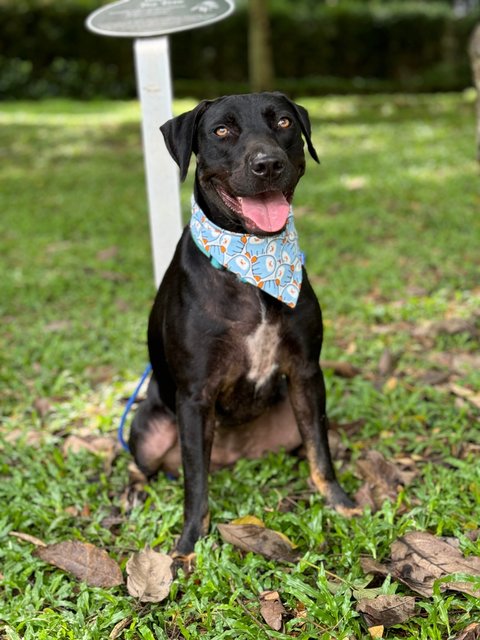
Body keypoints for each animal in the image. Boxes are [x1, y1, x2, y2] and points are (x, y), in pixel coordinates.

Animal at [129, 91, 354, 556]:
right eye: (221, 130)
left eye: (284, 122)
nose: (267, 164)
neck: (251, 265)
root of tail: (233, 455)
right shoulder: (195, 395)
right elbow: (196, 483)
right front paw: (189, 543)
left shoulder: (307, 374)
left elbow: (320, 452)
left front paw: (340, 503)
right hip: (146, 429)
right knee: (151, 466)